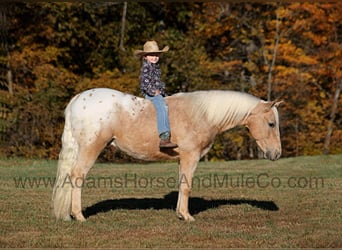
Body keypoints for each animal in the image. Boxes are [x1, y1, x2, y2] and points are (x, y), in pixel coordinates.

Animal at [51, 87, 280, 221]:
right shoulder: (191, 157)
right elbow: (187, 186)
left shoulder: (183, 159)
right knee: (77, 176)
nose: (277, 154)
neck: (202, 114)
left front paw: (180, 213)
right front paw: (187, 216)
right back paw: (78, 215)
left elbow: (181, 184)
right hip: (91, 148)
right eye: (271, 123)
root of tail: (77, 100)